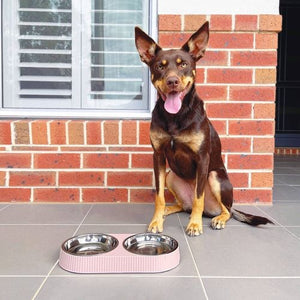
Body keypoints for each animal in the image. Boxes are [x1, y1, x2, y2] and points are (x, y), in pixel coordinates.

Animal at [135, 22, 274, 236]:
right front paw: (156, 221)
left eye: (183, 64)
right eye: (160, 66)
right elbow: (159, 197)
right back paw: (169, 209)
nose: (172, 81)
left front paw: (194, 225)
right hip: (170, 176)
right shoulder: (157, 155)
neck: (176, 116)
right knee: (183, 205)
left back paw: (218, 219)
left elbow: (198, 197)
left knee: (226, 210)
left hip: (215, 176)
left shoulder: (202, 158)